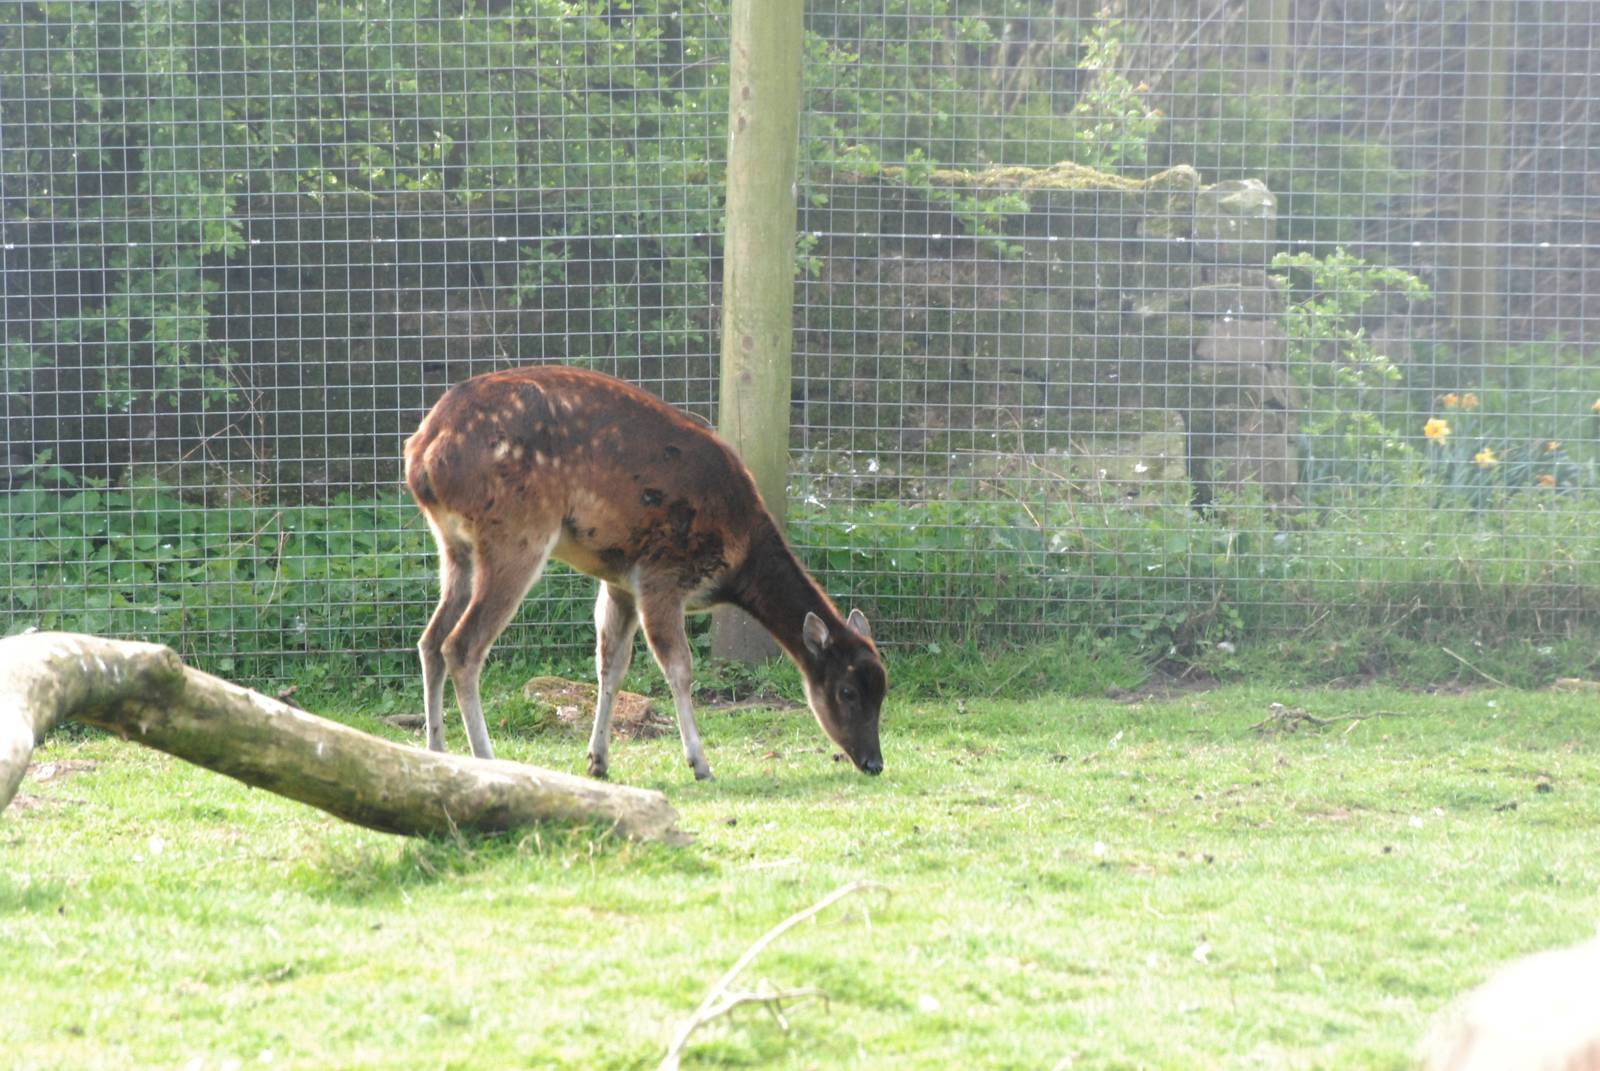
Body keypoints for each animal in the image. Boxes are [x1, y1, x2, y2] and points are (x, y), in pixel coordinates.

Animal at [404, 365, 886, 782]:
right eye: (846, 691)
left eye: (882, 689)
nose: (874, 762)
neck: (739, 551)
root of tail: (421, 454)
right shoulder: (663, 572)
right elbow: (679, 667)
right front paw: (700, 764)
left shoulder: (620, 581)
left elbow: (611, 664)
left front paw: (598, 761)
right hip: (516, 533)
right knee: (461, 644)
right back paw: (487, 759)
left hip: (454, 547)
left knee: (430, 639)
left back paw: (436, 752)